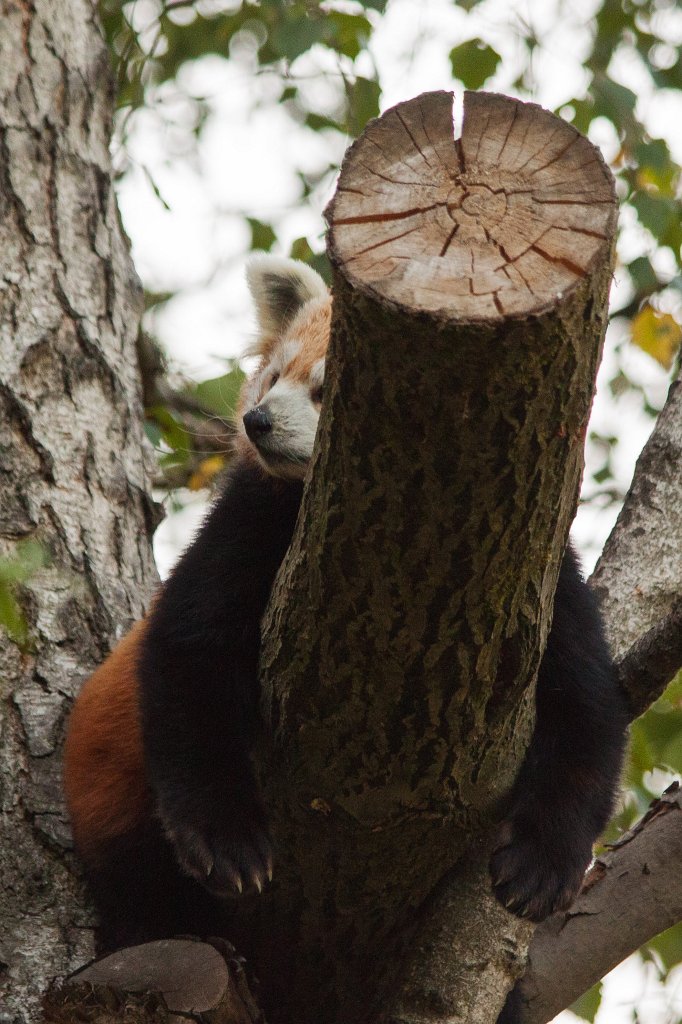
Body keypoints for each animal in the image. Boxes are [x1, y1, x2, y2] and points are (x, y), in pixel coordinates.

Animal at [64, 255, 627, 952]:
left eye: (326, 388)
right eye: (274, 377)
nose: (258, 420)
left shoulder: (538, 583)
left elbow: (587, 711)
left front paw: (543, 867)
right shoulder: (247, 525)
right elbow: (189, 657)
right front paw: (226, 844)